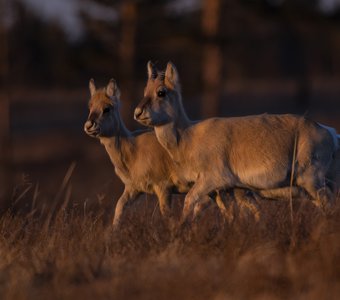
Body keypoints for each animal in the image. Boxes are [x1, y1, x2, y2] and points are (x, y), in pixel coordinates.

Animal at [134, 61, 338, 221]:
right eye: (145, 90)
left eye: (161, 92)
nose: (137, 113)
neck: (189, 135)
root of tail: (329, 132)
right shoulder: (225, 191)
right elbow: (230, 215)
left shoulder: (212, 180)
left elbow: (189, 200)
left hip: (311, 181)